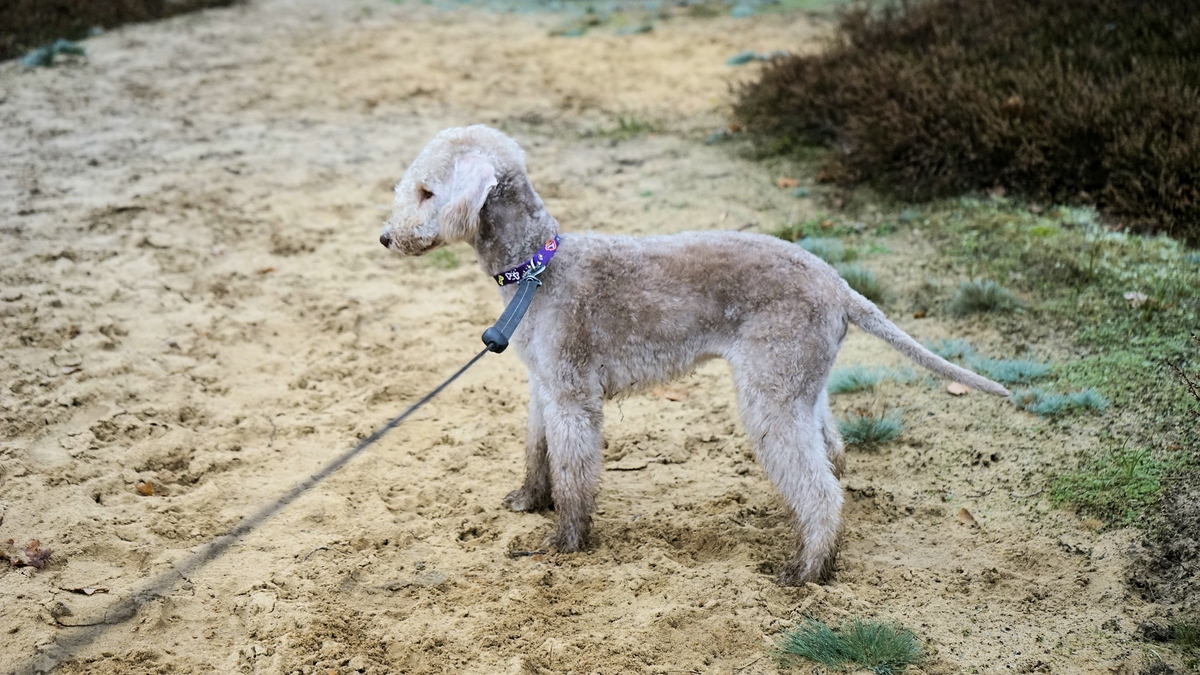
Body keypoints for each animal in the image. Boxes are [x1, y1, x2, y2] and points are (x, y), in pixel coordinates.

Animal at [379, 124, 1008, 583]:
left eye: (426, 191)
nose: (386, 237)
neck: (537, 268)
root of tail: (841, 287)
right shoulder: (544, 385)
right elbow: (538, 451)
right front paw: (530, 500)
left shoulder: (572, 395)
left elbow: (575, 472)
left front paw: (565, 544)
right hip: (799, 382)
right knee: (831, 452)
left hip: (769, 392)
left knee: (821, 489)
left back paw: (808, 570)